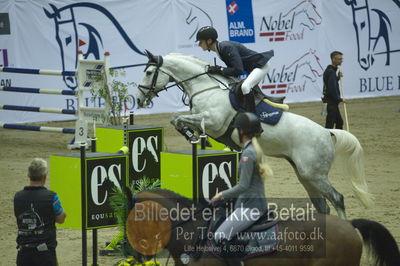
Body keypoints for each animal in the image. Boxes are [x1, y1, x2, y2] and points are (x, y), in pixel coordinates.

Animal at [136, 51, 374, 218]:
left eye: (148, 73)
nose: (139, 100)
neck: (206, 87)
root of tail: (327, 132)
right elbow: (175, 118)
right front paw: (193, 136)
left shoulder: (213, 122)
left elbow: (178, 119)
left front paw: (190, 134)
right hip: (305, 175)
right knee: (323, 205)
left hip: (314, 174)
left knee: (337, 199)